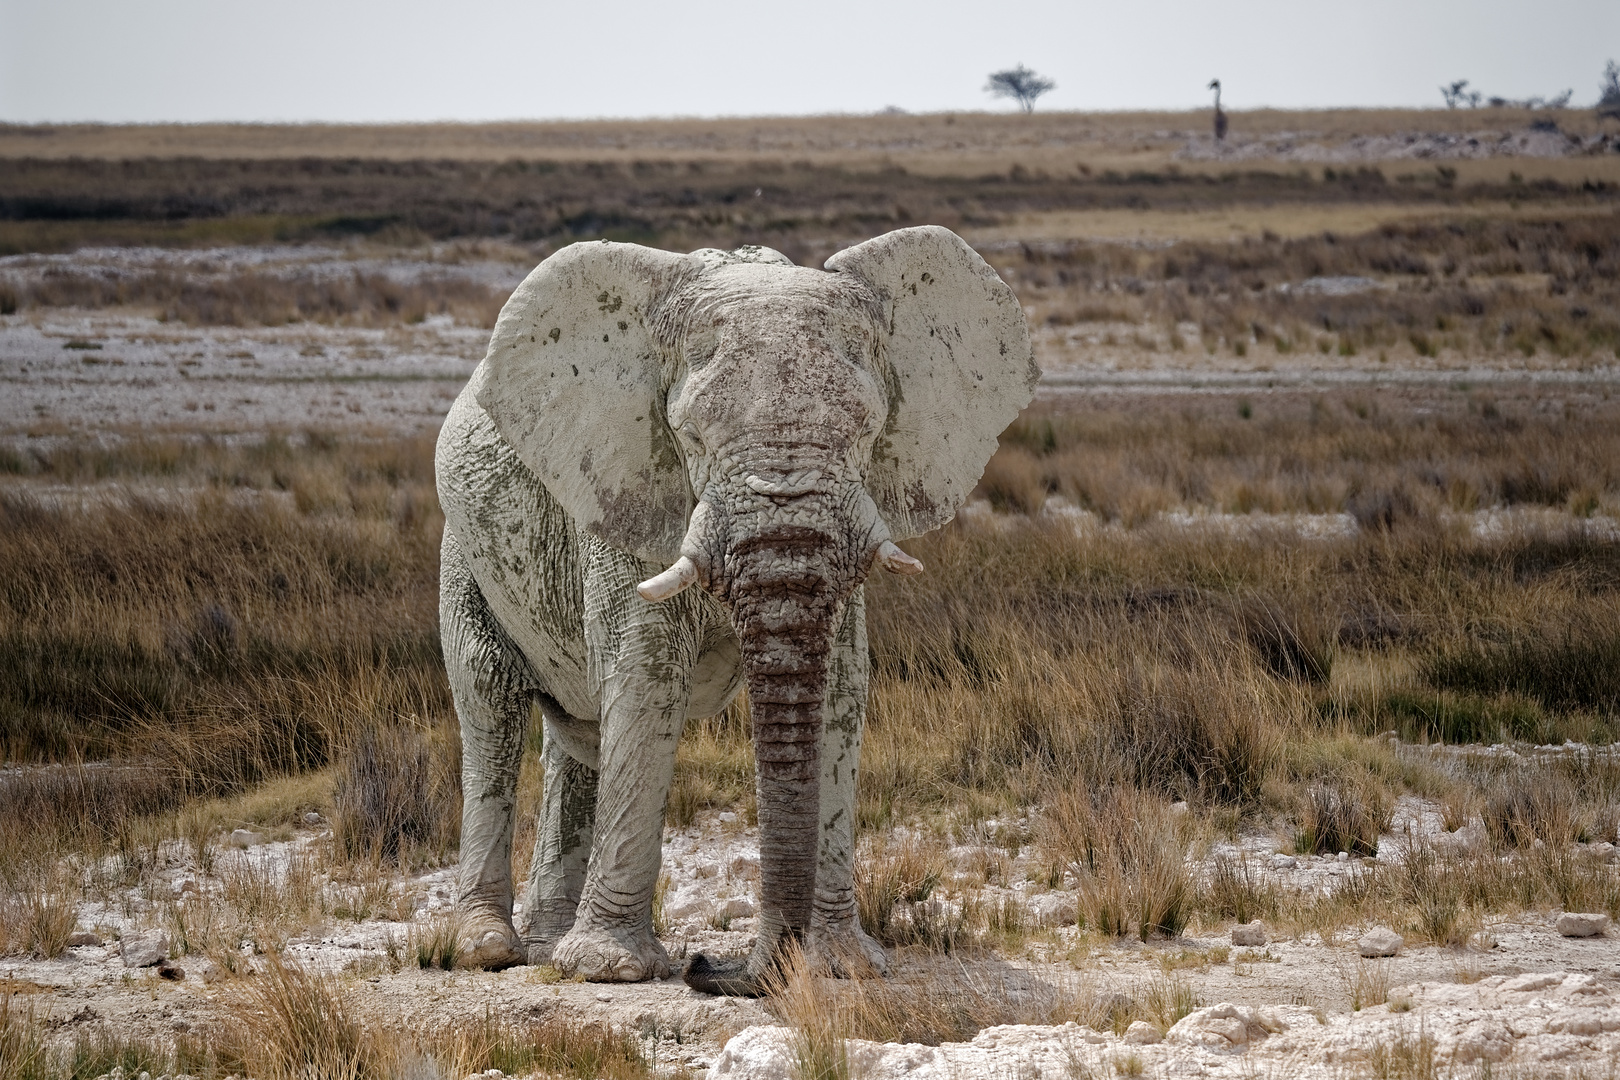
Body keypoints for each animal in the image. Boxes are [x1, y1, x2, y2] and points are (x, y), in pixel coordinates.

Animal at [434, 226, 1036, 997]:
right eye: (691, 437)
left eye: (868, 433)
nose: (713, 967)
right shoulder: (625, 491)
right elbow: (646, 679)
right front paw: (612, 972)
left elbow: (841, 690)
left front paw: (844, 967)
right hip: (464, 550)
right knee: (489, 707)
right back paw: (489, 948)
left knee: (578, 734)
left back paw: (548, 943)